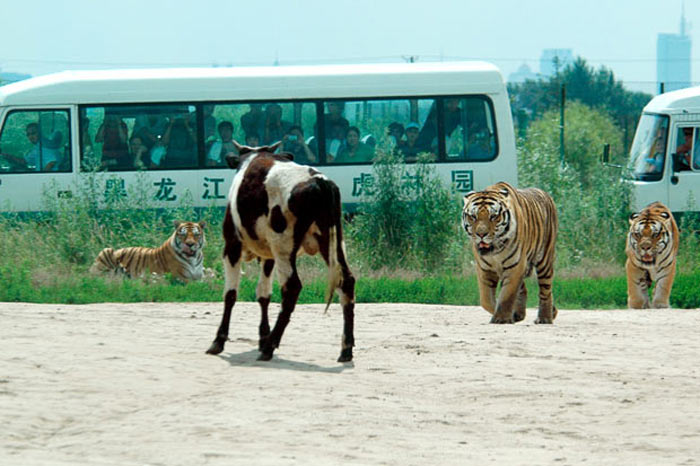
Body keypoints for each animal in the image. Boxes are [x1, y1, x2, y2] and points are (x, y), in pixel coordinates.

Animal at [204, 140, 356, 362]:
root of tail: (318, 181)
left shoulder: (231, 245)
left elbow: (230, 294)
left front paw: (219, 340)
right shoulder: (268, 255)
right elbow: (263, 294)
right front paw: (262, 336)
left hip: (284, 247)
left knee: (292, 288)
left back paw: (270, 347)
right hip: (333, 244)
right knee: (347, 281)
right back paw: (345, 349)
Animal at [464, 181, 556, 324]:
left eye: (493, 216)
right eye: (473, 217)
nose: (481, 234)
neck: (495, 250)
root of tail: (546, 194)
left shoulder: (515, 266)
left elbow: (507, 295)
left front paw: (501, 318)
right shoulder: (484, 269)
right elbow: (486, 300)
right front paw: (508, 314)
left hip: (544, 260)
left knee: (545, 290)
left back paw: (545, 318)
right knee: (523, 289)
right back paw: (521, 314)